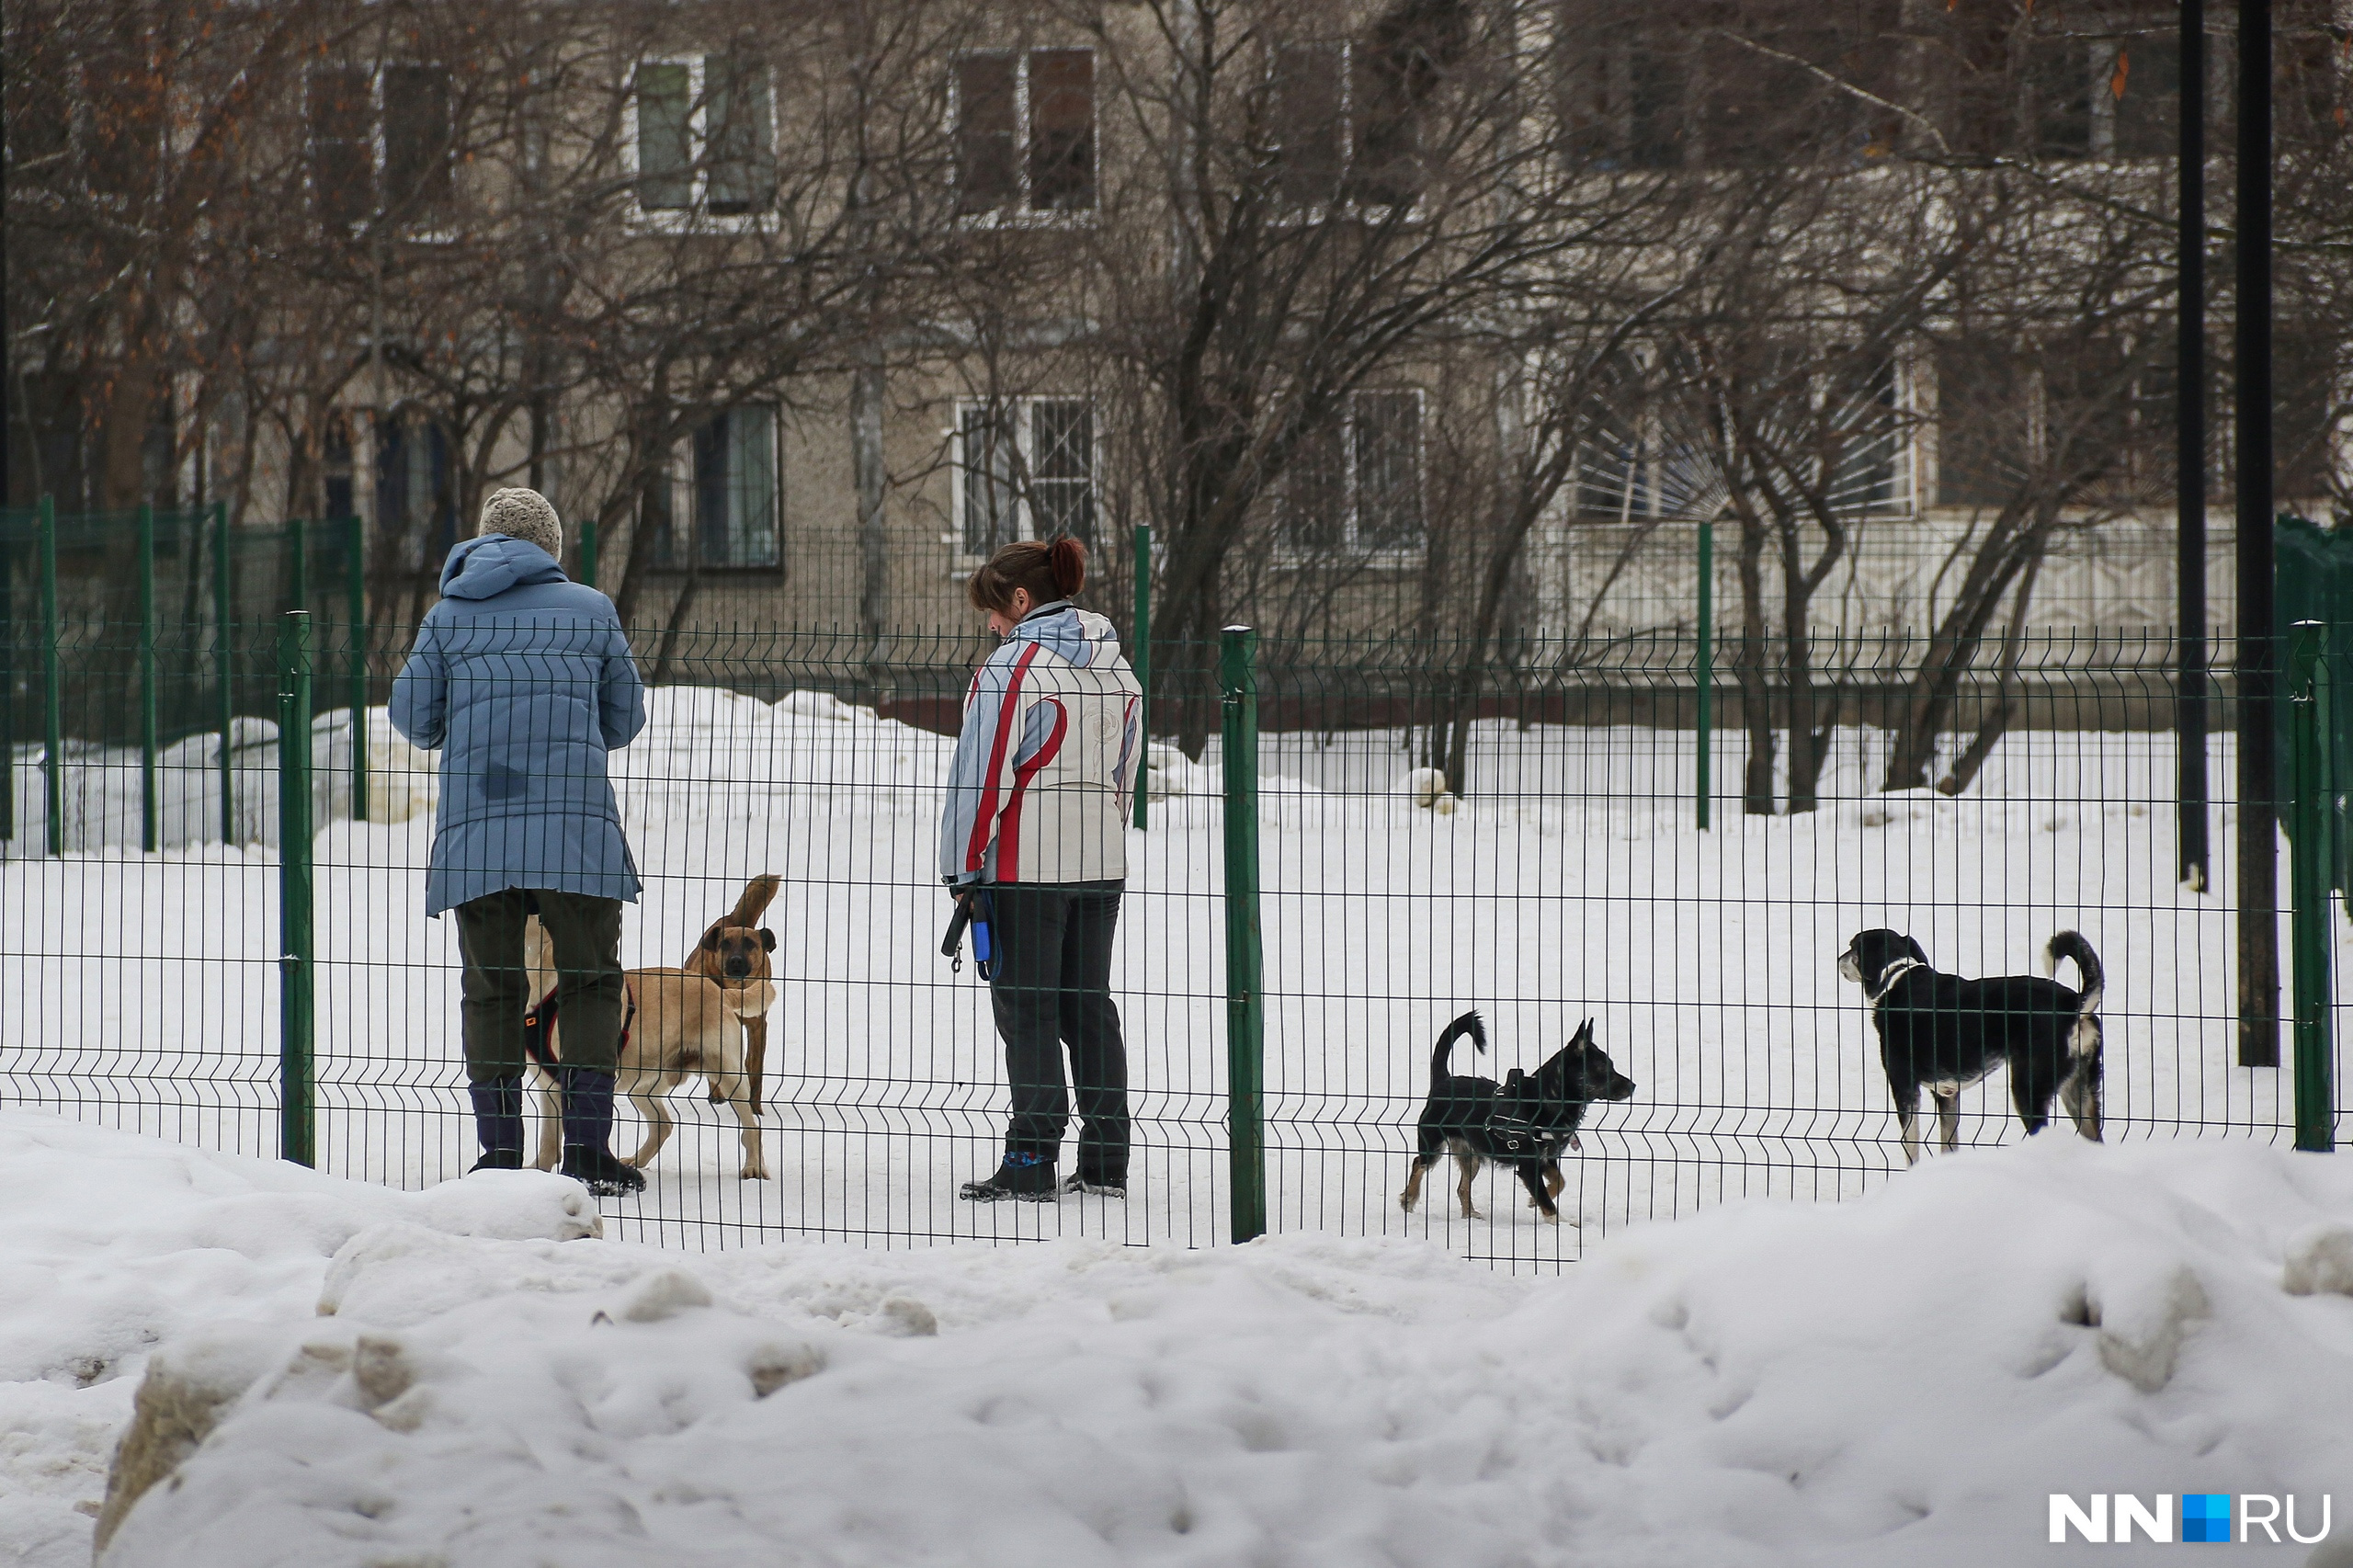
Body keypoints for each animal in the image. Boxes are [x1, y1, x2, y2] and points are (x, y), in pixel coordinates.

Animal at [522, 918, 771, 1172]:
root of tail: (719, 991)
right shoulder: (547, 1083)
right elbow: (549, 1140)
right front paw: (537, 1171)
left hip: (728, 1075)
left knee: (752, 1127)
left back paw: (753, 1168)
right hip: (641, 1085)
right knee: (663, 1124)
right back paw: (636, 1160)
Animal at [687, 870, 786, 1116]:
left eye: (750, 944)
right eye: (725, 944)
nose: (736, 961)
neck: (735, 988)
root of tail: (734, 920)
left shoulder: (758, 1026)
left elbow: (755, 1069)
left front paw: (755, 1109)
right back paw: (716, 1094)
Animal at [1392, 1012, 1637, 1224]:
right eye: (1602, 1068)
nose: (1633, 1085)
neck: (1547, 1100)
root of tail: (1444, 1079)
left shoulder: (1546, 1158)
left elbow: (1560, 1182)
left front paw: (1532, 1201)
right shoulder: (1529, 1164)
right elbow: (1547, 1201)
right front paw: (1559, 1222)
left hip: (1471, 1155)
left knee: (1461, 1187)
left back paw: (1470, 1215)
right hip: (1433, 1143)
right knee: (1419, 1164)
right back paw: (1409, 1198)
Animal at [1845, 927, 2108, 1158]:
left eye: (1852, 947)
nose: (1839, 960)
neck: (1895, 976)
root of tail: (2073, 1005)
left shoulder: (1904, 1087)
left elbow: (1912, 1146)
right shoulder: (1947, 1094)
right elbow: (1948, 1142)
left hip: (2029, 1090)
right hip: (2080, 1093)